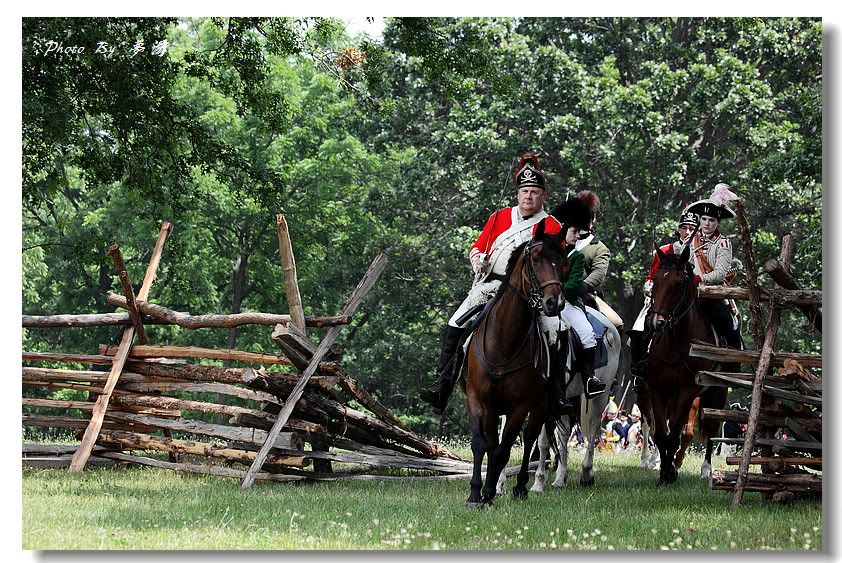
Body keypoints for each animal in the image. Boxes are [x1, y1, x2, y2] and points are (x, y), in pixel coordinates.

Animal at [460, 218, 564, 508]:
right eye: (537, 259)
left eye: (562, 261)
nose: (554, 303)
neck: (503, 343)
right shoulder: (477, 398)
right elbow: (482, 445)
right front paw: (476, 494)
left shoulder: (519, 406)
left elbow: (505, 450)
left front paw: (489, 492)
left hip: (540, 405)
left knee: (531, 440)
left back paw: (521, 487)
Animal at [648, 242, 724, 484]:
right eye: (656, 279)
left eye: (678, 282)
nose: (656, 322)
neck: (674, 346)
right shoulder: (657, 390)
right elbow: (662, 434)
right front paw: (665, 469)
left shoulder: (687, 392)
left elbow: (675, 434)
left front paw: (670, 471)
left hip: (716, 394)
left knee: (711, 429)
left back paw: (706, 469)